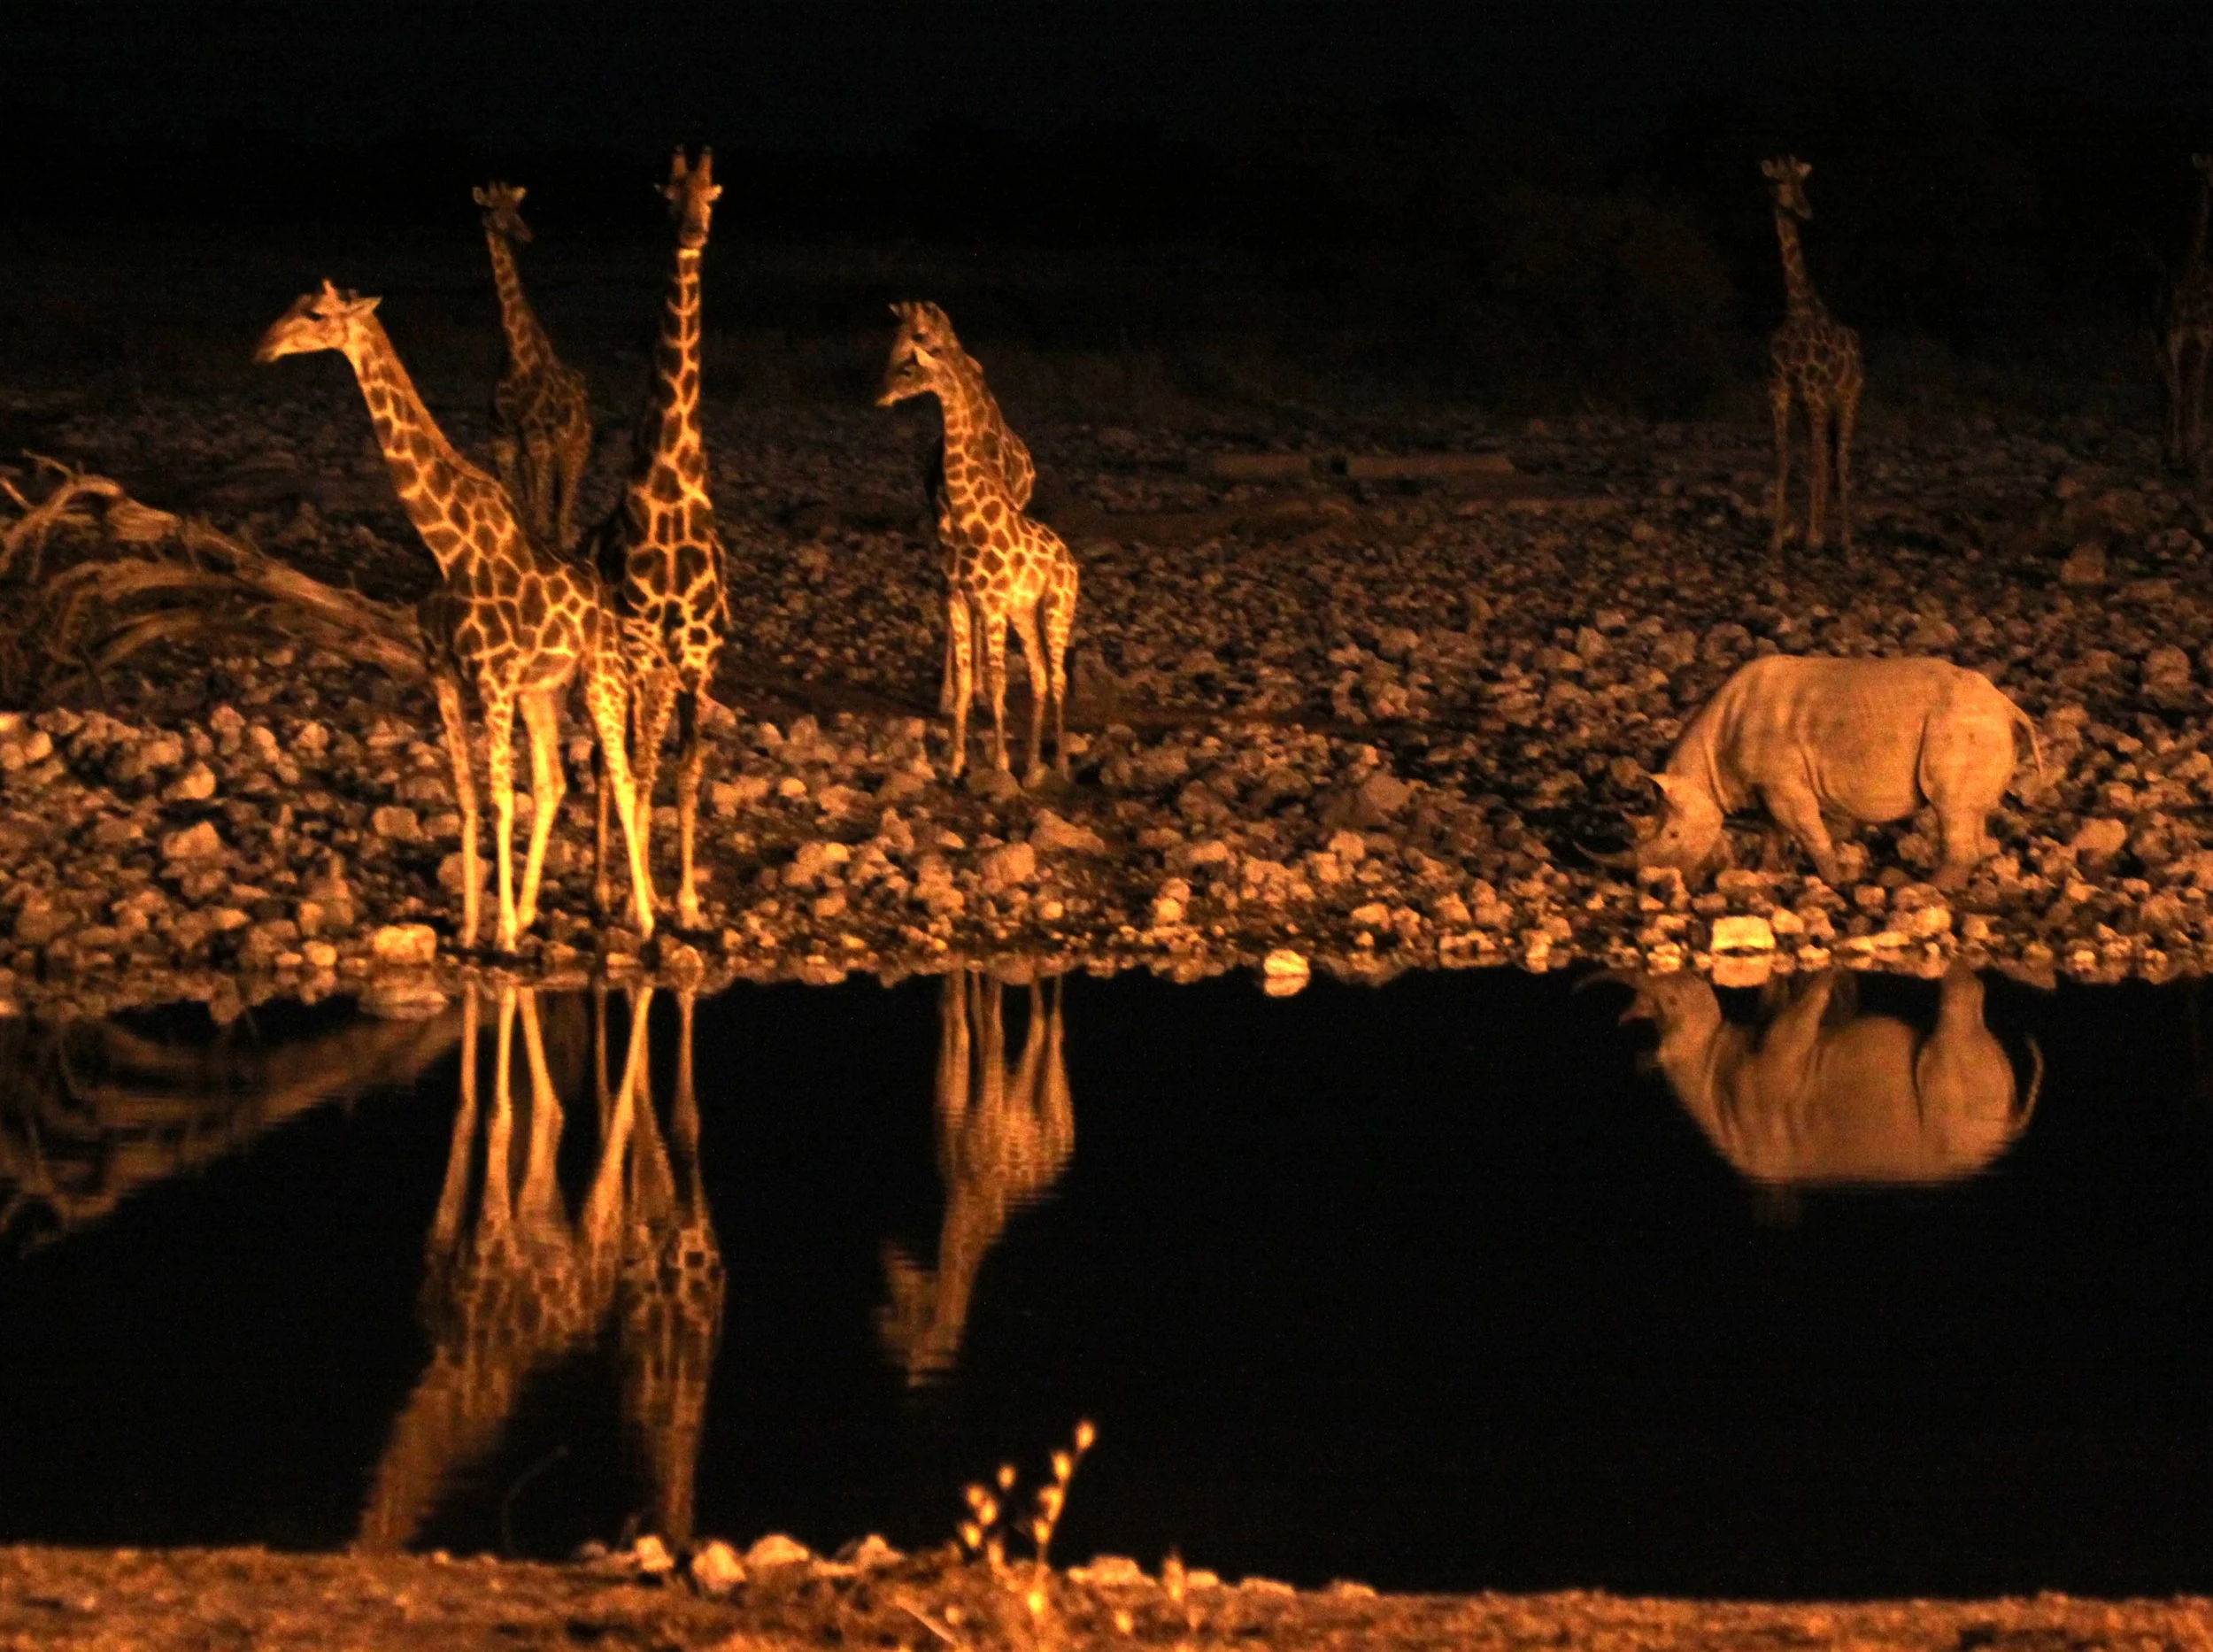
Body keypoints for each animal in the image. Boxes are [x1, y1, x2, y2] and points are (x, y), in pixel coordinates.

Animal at [257, 281, 657, 950]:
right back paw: (530, 912)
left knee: (622, 779)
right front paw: (474, 928)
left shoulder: (493, 677)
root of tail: (605, 597)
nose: (264, 348)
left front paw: (500, 934)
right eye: (289, 304)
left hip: (601, 676)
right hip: (542, 689)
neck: (449, 547)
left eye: (315, 315)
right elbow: (469, 797)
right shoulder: (442, 672)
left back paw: (645, 920)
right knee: (553, 781)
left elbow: (500, 797)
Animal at [474, 181, 593, 551]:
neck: (517, 359)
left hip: (576, 448)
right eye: (493, 209)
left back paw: (566, 542)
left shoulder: (540, 440)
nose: (525, 235)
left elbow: (539, 515)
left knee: (564, 506)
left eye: (517, 208)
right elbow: (519, 505)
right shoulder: (503, 439)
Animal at [877, 303, 1080, 782]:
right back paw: (1033, 767)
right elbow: (972, 678)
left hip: (1057, 608)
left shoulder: (991, 603)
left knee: (1058, 676)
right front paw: (956, 763)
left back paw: (1060, 763)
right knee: (1041, 674)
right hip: (1027, 612)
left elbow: (999, 678)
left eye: (911, 363)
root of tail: (1071, 560)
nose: (882, 395)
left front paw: (999, 763)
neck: (972, 519)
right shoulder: (962, 597)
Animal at [878, 970, 1073, 1385]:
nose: (892, 1261)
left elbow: (989, 1027)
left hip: (1050, 1094)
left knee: (1048, 1031)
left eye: (911, 1319)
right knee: (1036, 1023)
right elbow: (973, 1013)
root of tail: (1067, 1143)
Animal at [1762, 156, 1864, 558]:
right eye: (1779, 181)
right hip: (1814, 405)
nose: (1806, 212)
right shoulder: (1780, 389)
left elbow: (1819, 460)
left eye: (1802, 182)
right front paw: (1777, 539)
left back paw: (1846, 544)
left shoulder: (1815, 391)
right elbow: (1784, 456)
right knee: (1821, 451)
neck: (1798, 305)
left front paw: (1814, 538)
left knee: (1840, 457)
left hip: (1848, 397)